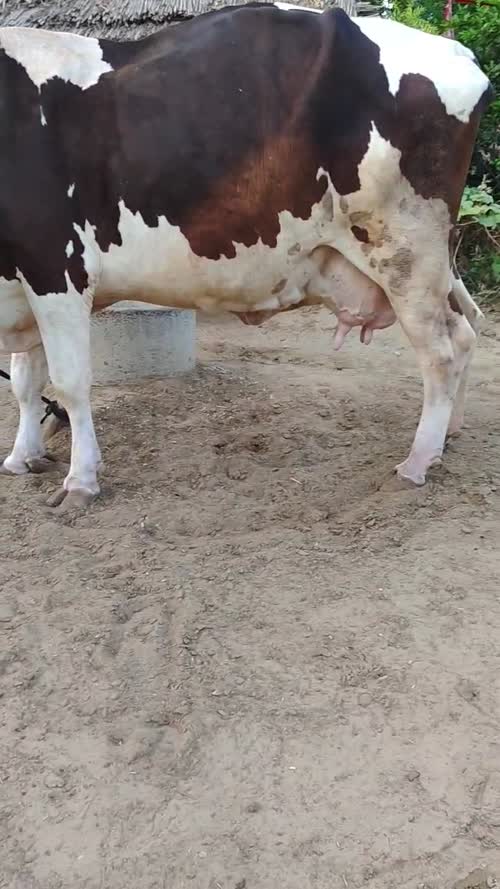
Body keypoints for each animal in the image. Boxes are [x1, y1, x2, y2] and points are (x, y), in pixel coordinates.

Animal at [0, 3, 491, 509]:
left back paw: (417, 462)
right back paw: (448, 435)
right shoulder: (20, 280)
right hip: (431, 259)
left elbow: (69, 381)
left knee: (442, 349)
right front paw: (23, 457)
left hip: (405, 249)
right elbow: (25, 380)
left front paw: (80, 480)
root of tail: (454, 51)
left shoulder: (55, 266)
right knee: (469, 324)